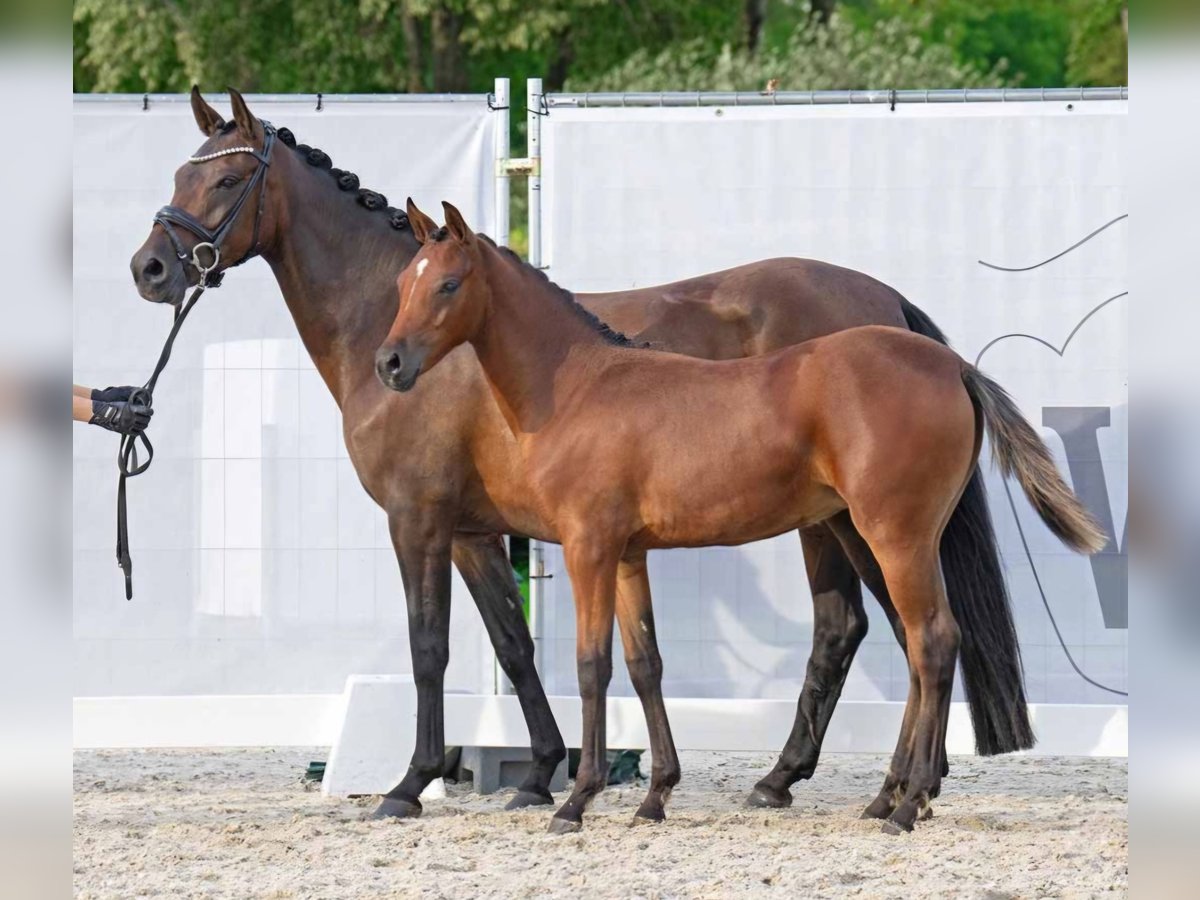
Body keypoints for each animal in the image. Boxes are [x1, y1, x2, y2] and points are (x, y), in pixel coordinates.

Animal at [376, 204, 1104, 840]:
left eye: (447, 283)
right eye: (401, 283)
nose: (390, 364)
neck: (582, 386)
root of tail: (952, 366)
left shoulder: (588, 547)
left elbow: (591, 666)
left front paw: (574, 802)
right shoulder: (629, 554)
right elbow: (644, 662)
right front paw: (653, 799)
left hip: (893, 536)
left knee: (932, 641)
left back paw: (904, 803)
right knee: (917, 644)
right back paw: (885, 797)